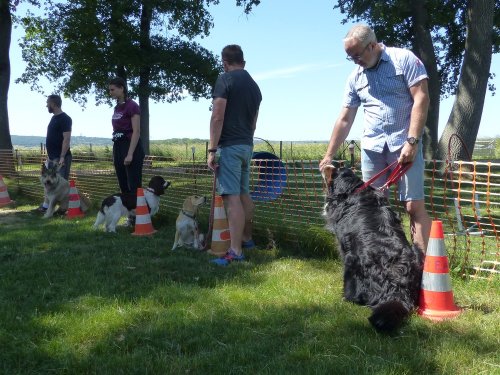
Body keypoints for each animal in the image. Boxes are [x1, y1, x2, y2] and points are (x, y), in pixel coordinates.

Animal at [322, 164, 424, 332]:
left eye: (333, 171)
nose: (327, 165)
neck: (353, 190)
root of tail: (397, 285)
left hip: (351, 260)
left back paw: (347, 297)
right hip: (417, 250)